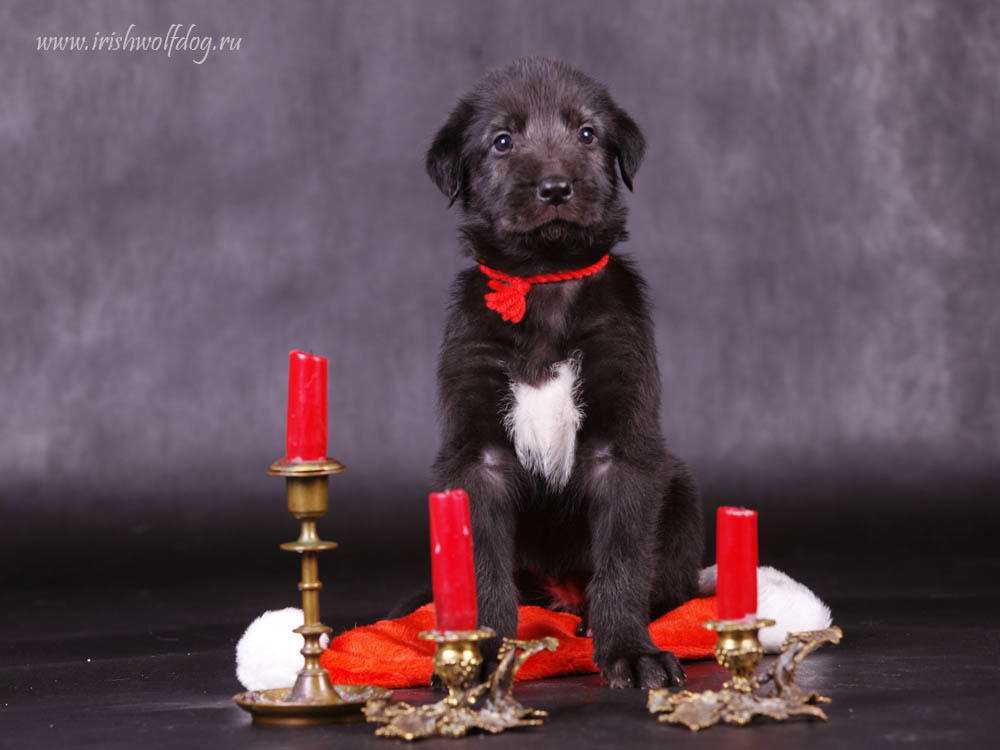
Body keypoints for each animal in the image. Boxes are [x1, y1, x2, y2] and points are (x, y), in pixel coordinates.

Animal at [426, 60, 700, 692]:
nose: (555, 188)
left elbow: (623, 558)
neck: (544, 283)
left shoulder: (622, 448)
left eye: (587, 134)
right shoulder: (476, 457)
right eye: (502, 141)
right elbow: (481, 564)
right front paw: (480, 657)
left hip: (680, 496)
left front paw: (630, 651)